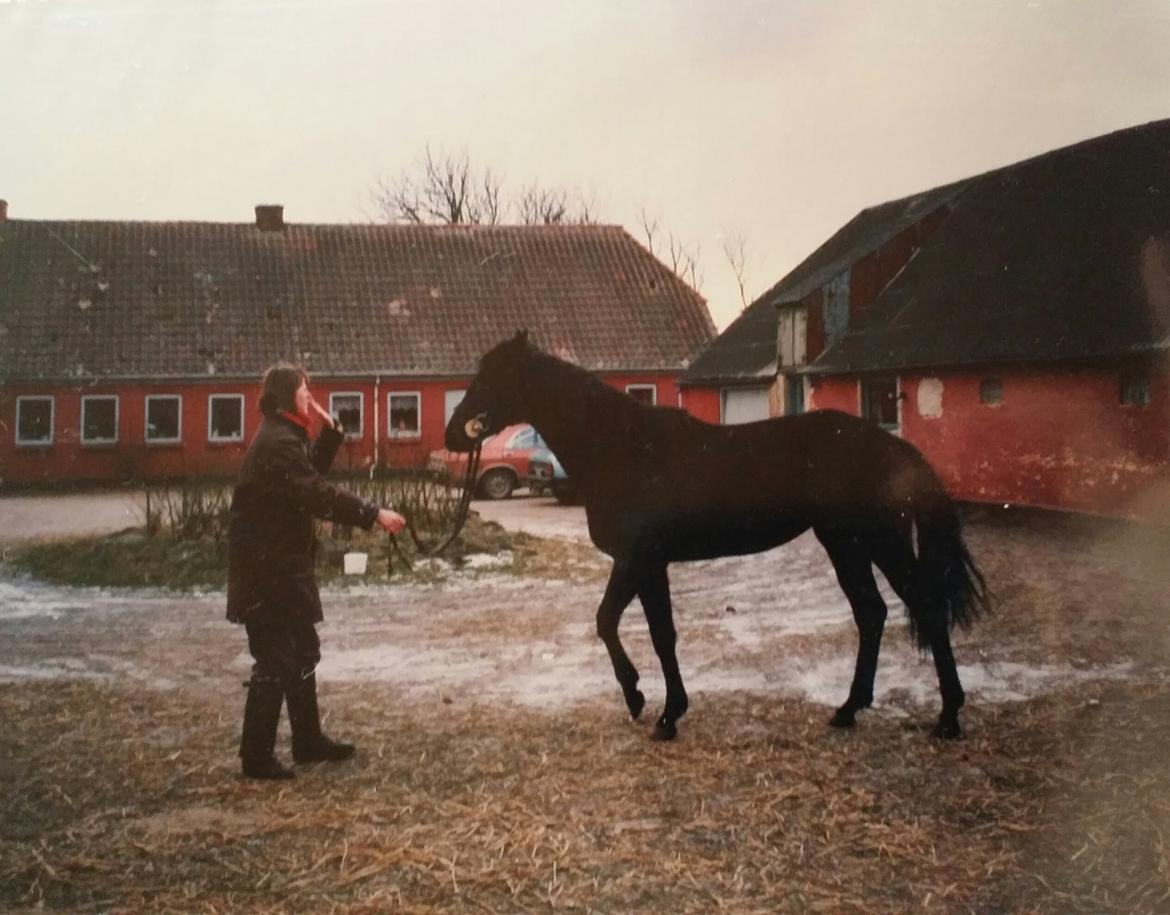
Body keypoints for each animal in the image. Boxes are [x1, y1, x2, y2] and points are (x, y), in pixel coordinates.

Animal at [444, 332, 987, 739]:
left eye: (493, 376)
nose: (453, 432)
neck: (623, 449)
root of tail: (891, 444)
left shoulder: (640, 559)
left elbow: (633, 628)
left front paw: (653, 708)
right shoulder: (644, 564)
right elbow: (635, 628)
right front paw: (654, 704)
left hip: (878, 542)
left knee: (923, 606)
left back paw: (948, 717)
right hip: (844, 544)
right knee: (871, 613)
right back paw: (849, 709)